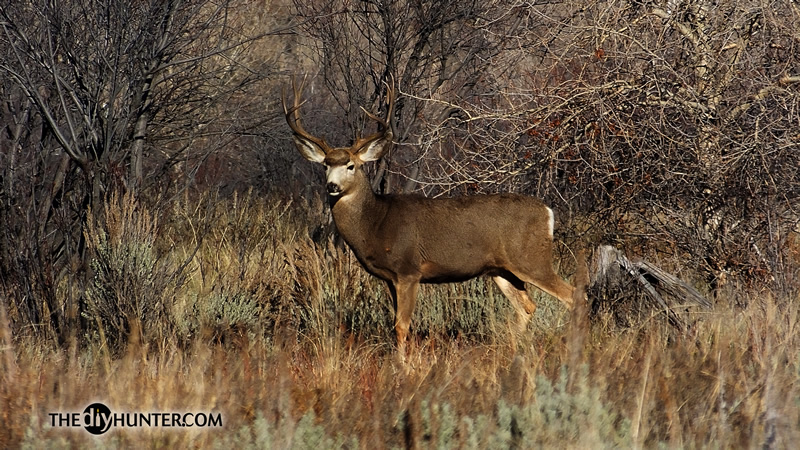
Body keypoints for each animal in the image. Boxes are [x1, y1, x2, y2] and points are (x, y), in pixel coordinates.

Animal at [283, 77, 575, 351]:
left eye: (351, 165)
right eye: (325, 165)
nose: (332, 186)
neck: (376, 223)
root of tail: (548, 212)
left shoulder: (409, 269)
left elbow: (402, 326)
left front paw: (403, 364)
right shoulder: (390, 278)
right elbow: (396, 323)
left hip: (532, 259)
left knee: (571, 294)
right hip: (502, 270)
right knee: (528, 306)